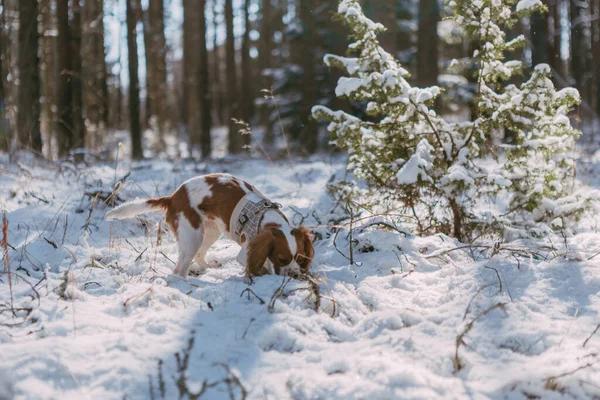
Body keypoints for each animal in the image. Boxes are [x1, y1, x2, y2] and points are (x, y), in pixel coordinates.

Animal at [106, 173, 316, 280]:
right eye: (281, 259)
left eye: (301, 258)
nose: (295, 275)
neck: (265, 219)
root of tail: (172, 197)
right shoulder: (246, 250)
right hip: (193, 235)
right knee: (179, 271)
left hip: (210, 230)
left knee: (199, 256)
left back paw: (212, 271)